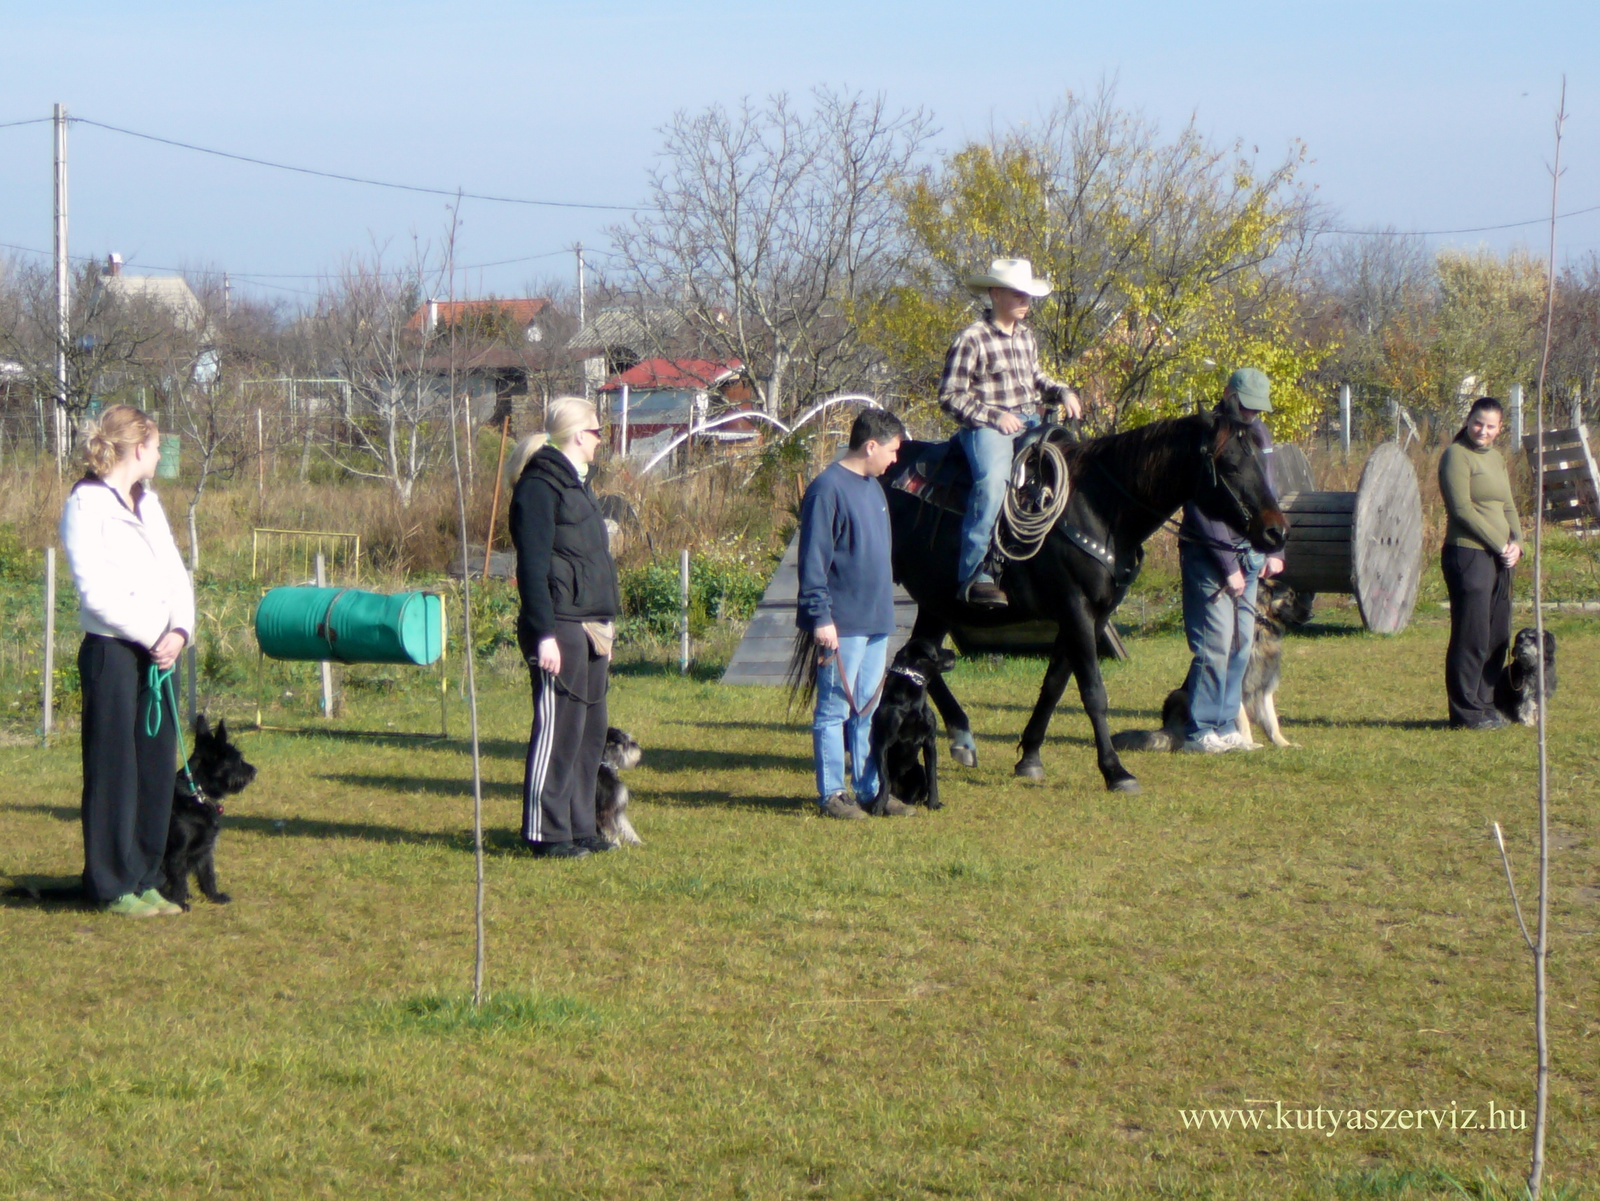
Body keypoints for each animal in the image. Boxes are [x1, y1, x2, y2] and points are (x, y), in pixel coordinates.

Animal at [159, 713, 256, 908]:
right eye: (237, 759)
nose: (254, 771)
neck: (198, 795)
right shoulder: (177, 853)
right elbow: (179, 880)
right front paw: (179, 903)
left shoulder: (205, 849)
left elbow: (208, 874)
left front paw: (214, 896)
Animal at [870, 639, 953, 818]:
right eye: (938, 647)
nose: (953, 652)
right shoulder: (881, 743)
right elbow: (885, 778)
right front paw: (878, 805)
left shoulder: (930, 742)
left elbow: (932, 776)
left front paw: (934, 803)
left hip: (917, 770)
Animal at [1107, 582, 1305, 751]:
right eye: (1289, 595)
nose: (1309, 614)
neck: (1258, 632)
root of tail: (1168, 729)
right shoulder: (1235, 688)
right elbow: (1243, 722)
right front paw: (1248, 744)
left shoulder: (1264, 690)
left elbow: (1272, 722)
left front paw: (1283, 744)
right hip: (1179, 694)